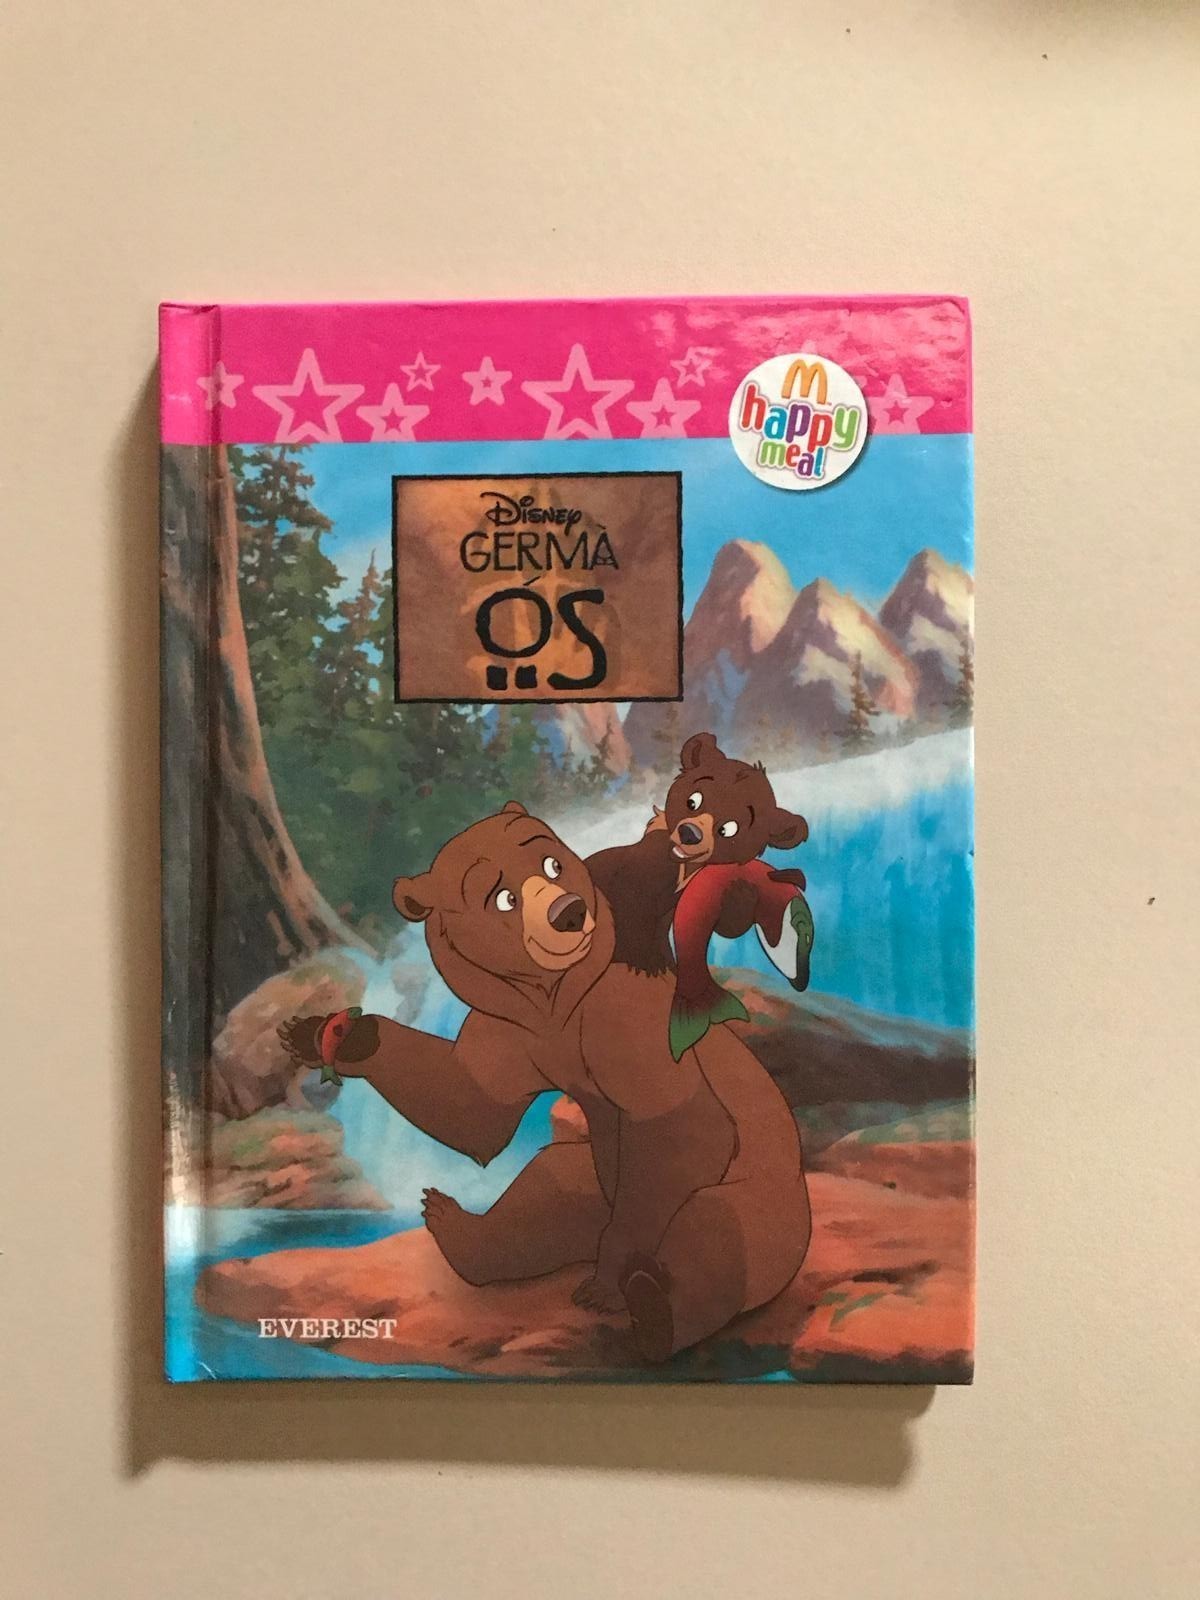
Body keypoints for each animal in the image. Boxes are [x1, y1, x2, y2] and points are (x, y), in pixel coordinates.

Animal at [279, 800, 810, 1363]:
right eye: (503, 897)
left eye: (553, 865)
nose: (568, 912)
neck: (556, 1000)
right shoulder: (515, 1031)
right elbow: (472, 1104)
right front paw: (321, 1034)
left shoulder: (622, 1019)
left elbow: (681, 1122)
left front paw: (609, 1283)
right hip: (592, 1185)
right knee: (545, 1189)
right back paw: (455, 1225)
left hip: (762, 1201)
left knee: (716, 1233)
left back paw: (651, 1307)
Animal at [587, 732, 814, 1057]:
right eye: (692, 801)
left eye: (728, 829)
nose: (689, 833)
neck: (683, 870)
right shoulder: (640, 878)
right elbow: (634, 910)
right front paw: (645, 964)